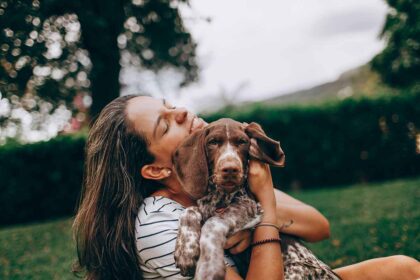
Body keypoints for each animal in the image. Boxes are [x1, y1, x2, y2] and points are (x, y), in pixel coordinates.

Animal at [172, 118, 340, 280]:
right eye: (213, 142)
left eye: (242, 142)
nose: (231, 169)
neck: (219, 195)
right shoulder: (204, 206)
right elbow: (189, 211)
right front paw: (186, 251)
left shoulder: (249, 206)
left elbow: (212, 223)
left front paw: (209, 266)